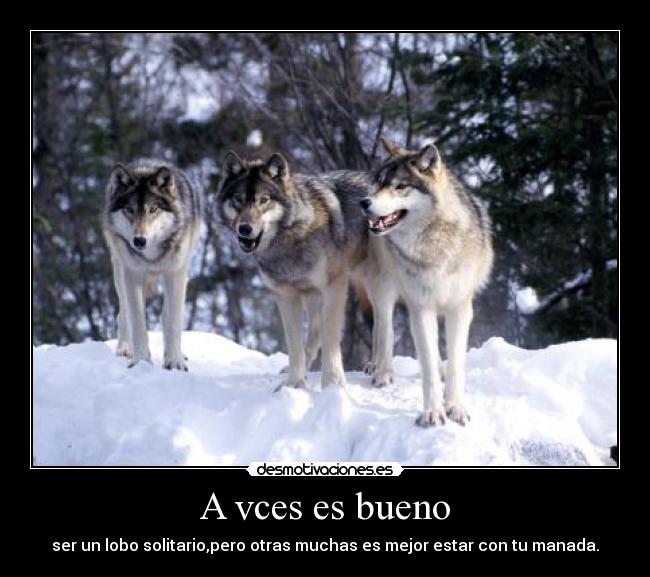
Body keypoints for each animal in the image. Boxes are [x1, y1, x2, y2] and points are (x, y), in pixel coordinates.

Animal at [102, 159, 201, 370]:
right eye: (129, 210)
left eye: (153, 209)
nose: (139, 240)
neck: (151, 257)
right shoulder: (133, 276)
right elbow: (138, 323)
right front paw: (141, 361)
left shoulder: (175, 274)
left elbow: (173, 322)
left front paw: (175, 362)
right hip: (120, 272)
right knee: (123, 313)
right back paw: (125, 348)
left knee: (168, 315)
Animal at [216, 151, 378, 390]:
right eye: (238, 200)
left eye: (264, 200)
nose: (245, 229)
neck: (290, 239)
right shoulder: (285, 295)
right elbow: (294, 345)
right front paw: (293, 384)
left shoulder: (334, 286)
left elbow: (330, 338)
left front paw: (333, 384)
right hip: (315, 296)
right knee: (315, 333)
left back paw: (377, 368)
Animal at [360, 139, 493, 427]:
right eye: (380, 183)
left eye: (400, 186)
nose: (364, 202)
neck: (434, 245)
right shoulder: (421, 309)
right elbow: (428, 368)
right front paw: (433, 413)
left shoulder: (460, 308)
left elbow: (455, 363)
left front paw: (456, 407)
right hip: (384, 289)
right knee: (384, 329)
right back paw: (381, 371)